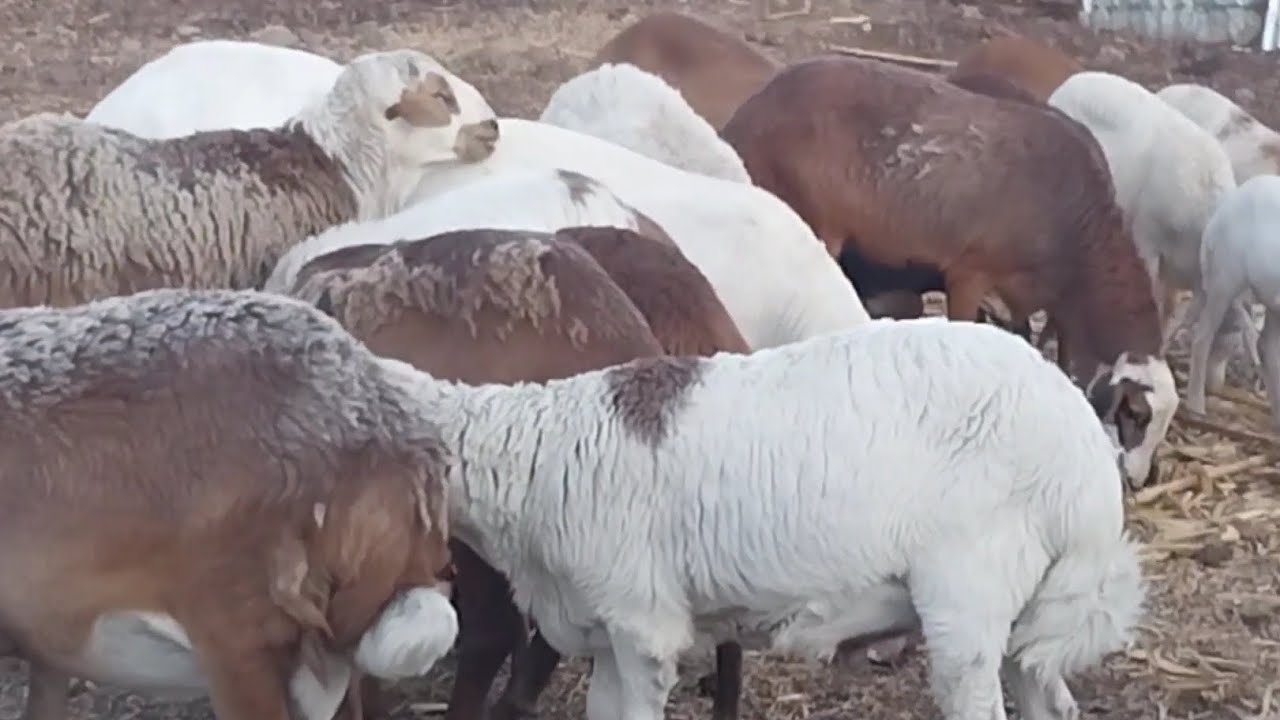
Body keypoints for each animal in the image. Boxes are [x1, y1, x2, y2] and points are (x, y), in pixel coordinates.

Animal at [365, 317, 1146, 720]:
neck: (527, 456)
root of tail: (1088, 468)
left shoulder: (642, 625)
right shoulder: (609, 631)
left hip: (974, 584)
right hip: (1034, 609)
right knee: (1049, 698)